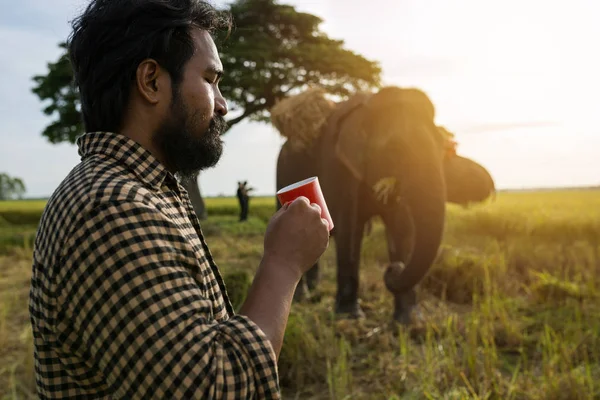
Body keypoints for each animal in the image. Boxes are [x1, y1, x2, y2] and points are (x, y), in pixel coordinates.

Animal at [274, 86, 448, 324]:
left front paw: (410, 322)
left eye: (443, 148)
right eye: (395, 149)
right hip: (281, 171)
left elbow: (401, 229)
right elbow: (350, 228)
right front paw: (350, 316)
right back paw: (302, 297)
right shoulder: (337, 165)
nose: (393, 269)